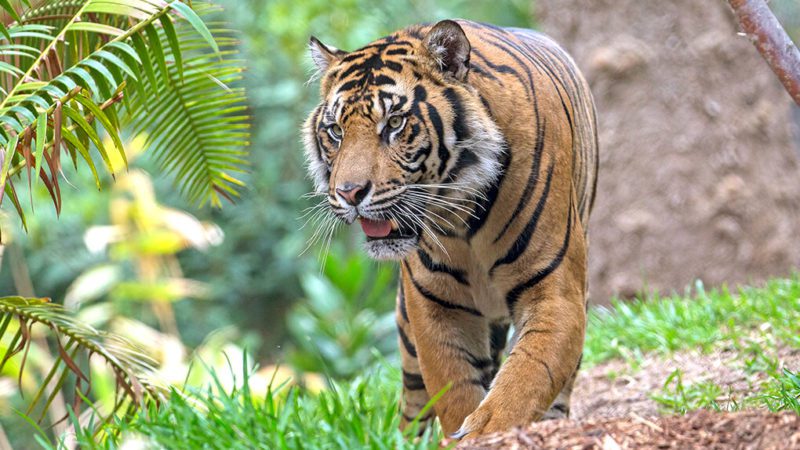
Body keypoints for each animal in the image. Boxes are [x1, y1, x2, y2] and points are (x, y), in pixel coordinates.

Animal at [303, 19, 598, 440]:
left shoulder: (556, 291)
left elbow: (527, 375)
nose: (349, 193)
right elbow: (454, 387)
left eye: (395, 123)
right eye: (335, 131)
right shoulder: (434, 304)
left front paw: (489, 428)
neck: (463, 220)